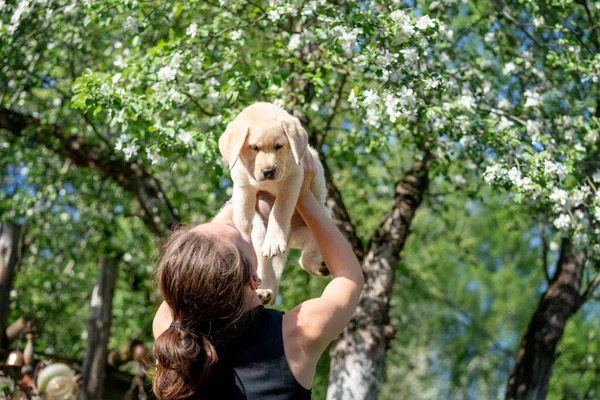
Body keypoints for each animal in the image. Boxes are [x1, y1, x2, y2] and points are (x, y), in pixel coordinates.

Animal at [219, 102, 330, 304]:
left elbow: (280, 210)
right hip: (259, 232)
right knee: (264, 268)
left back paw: (317, 266)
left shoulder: (293, 178)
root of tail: (290, 238)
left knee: (305, 257)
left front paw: (274, 240)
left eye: (279, 146)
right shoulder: (243, 186)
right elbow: (242, 218)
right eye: (254, 147)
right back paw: (262, 293)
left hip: (321, 220)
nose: (269, 171)